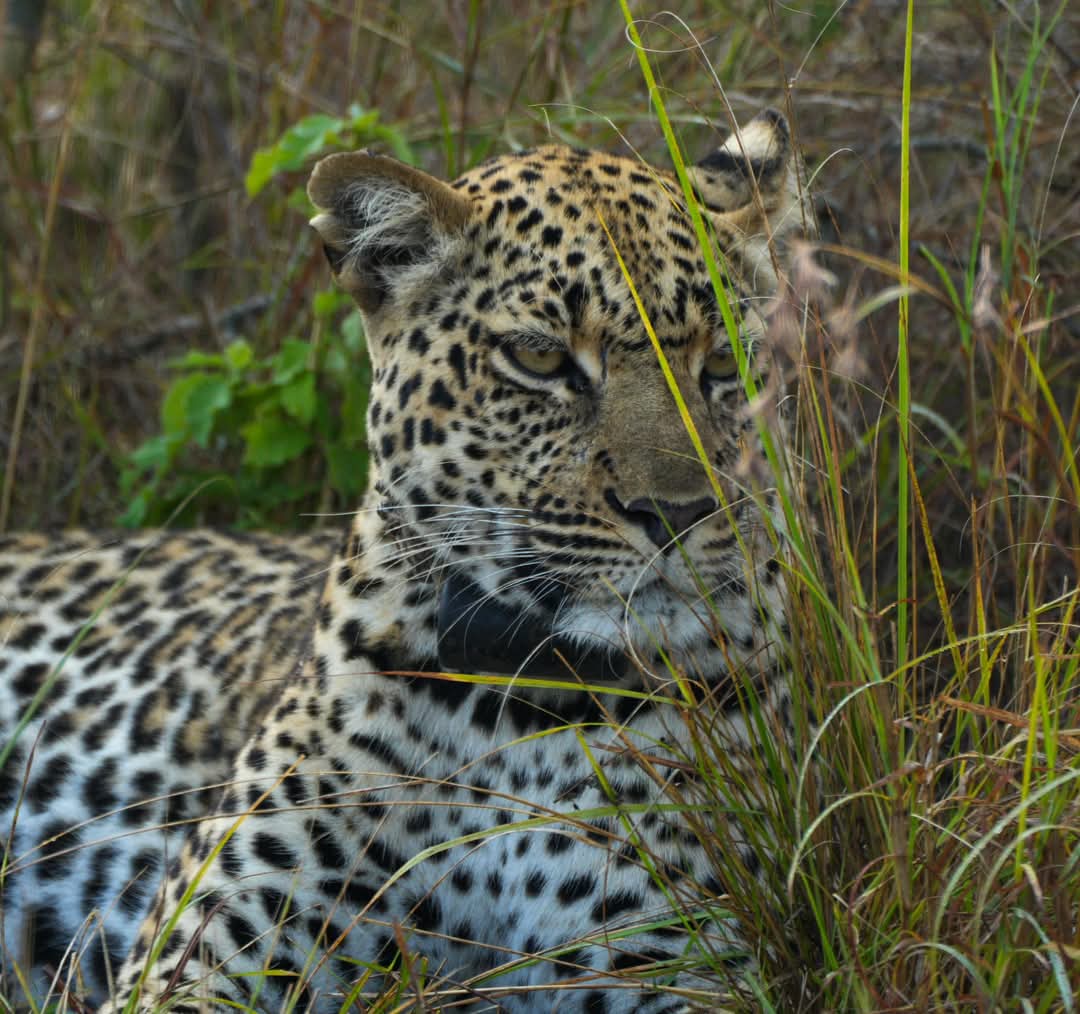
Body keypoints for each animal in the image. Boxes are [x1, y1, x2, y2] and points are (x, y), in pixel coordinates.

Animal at [1, 108, 805, 1012]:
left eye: (724, 361)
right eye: (539, 357)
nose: (676, 513)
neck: (523, 706)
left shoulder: (674, 964)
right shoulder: (204, 959)